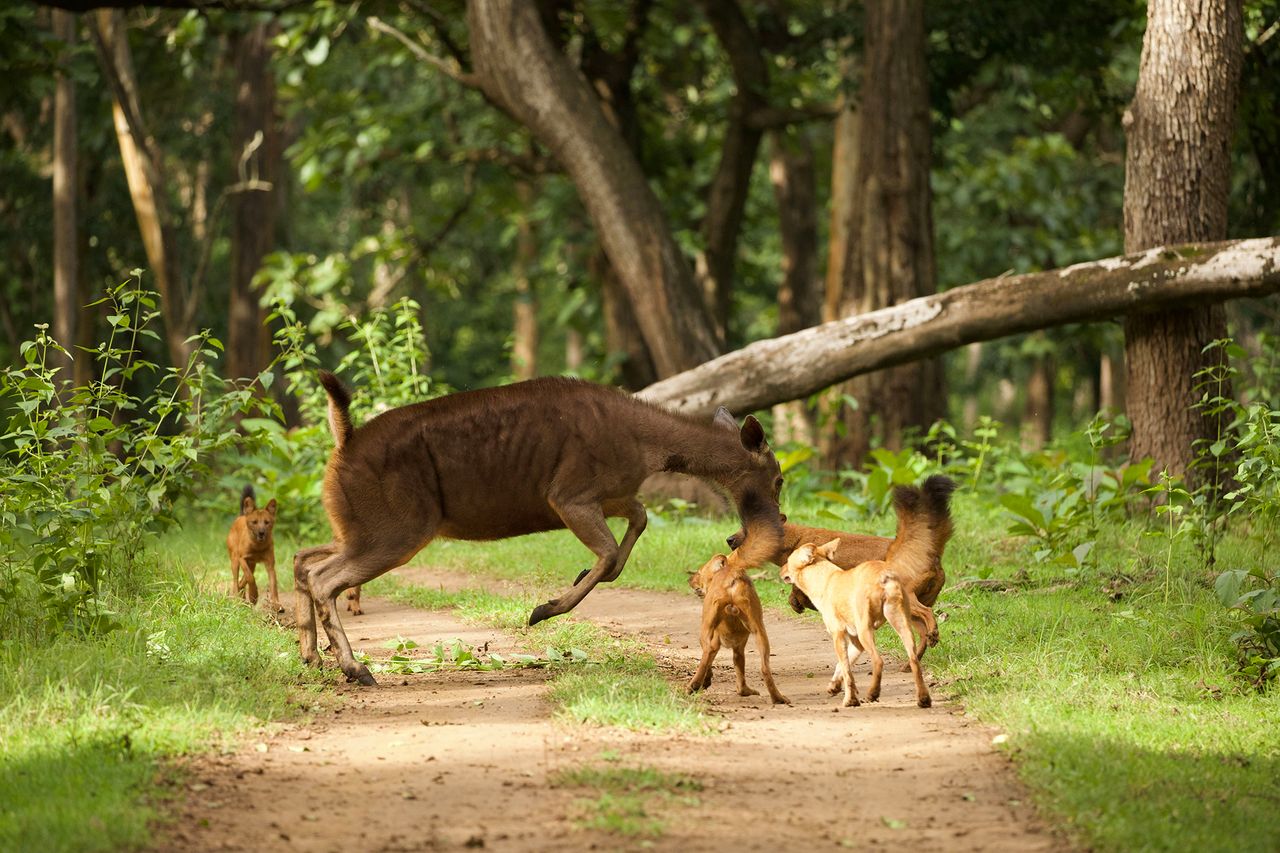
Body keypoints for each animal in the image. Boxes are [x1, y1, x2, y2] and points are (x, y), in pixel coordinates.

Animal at [227, 484, 282, 612]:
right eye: (254, 522)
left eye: (267, 522)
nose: (261, 533)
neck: (258, 547)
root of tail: (242, 516)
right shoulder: (242, 558)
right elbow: (250, 578)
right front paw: (253, 596)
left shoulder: (270, 565)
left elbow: (273, 585)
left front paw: (276, 604)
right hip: (235, 560)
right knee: (236, 581)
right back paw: (237, 598)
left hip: (252, 564)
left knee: (241, 581)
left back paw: (242, 599)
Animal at [294, 371, 783, 686]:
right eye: (778, 479)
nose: (744, 535)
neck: (650, 447)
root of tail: (343, 445)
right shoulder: (568, 494)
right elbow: (609, 552)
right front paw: (543, 609)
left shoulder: (609, 493)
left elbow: (637, 523)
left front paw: (573, 582)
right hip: (399, 526)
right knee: (324, 577)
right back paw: (356, 669)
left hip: (360, 524)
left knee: (303, 559)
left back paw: (311, 656)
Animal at [691, 548, 788, 701]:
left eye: (699, 572)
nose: (689, 580)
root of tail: (733, 578)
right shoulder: (739, 647)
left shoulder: (715, 638)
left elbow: (708, 661)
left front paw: (706, 680)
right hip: (760, 632)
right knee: (765, 668)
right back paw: (777, 698)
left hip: (706, 629)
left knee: (709, 651)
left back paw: (693, 685)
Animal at [773, 479, 957, 701]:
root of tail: (934, 557)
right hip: (904, 614)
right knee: (919, 636)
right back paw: (914, 661)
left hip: (906, 604)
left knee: (926, 615)